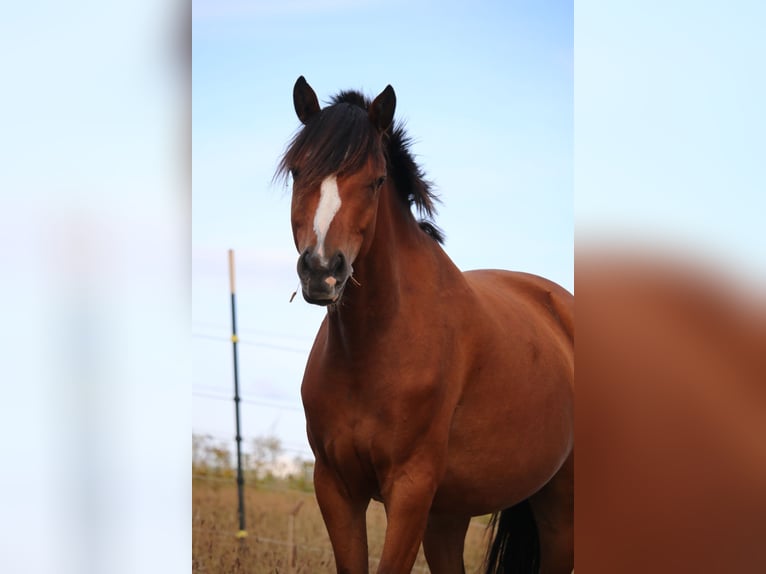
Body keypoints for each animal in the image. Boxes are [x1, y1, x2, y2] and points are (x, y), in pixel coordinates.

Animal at [280, 77, 572, 574]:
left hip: (559, 513)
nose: (321, 271)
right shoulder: (336, 487)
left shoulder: (410, 489)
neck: (374, 349)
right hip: (450, 514)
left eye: (376, 181)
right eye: (299, 172)